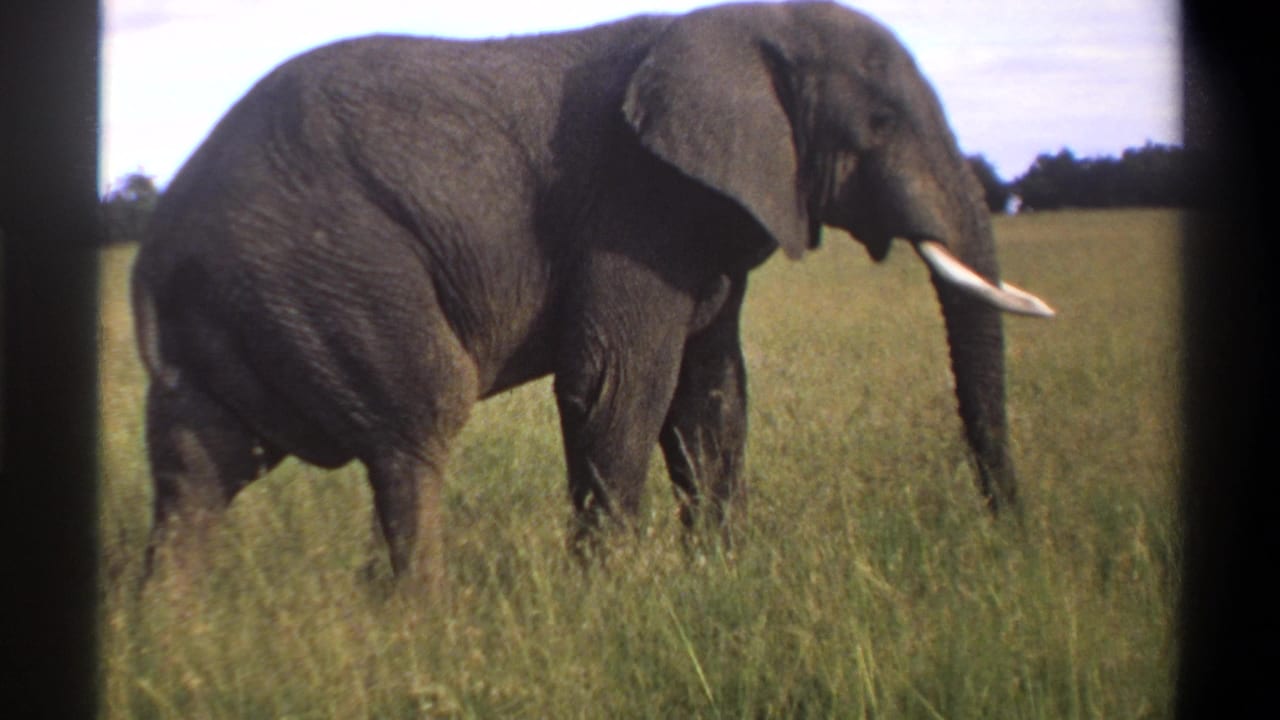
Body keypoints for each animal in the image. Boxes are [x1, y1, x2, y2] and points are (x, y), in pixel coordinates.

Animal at [131, 1, 1053, 592]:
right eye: (882, 126)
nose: (1009, 532)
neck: (741, 25)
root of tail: (159, 236)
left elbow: (713, 397)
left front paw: (720, 576)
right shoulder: (631, 207)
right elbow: (619, 383)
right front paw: (609, 599)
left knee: (196, 473)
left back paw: (177, 642)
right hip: (338, 275)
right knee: (415, 430)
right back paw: (425, 621)